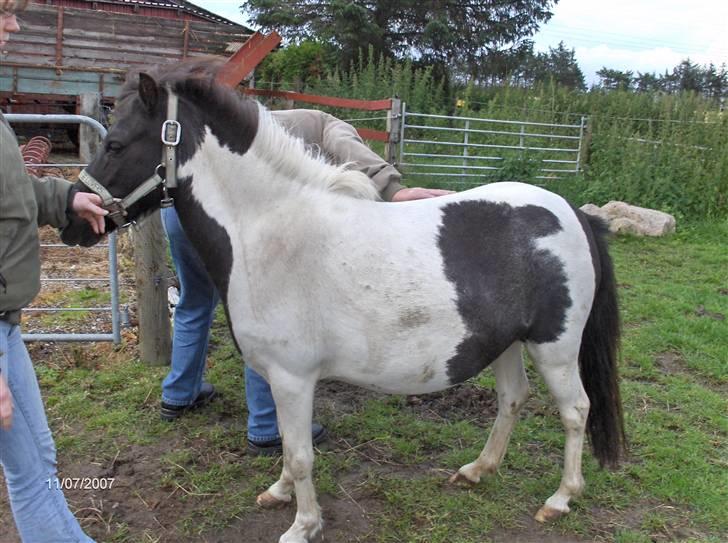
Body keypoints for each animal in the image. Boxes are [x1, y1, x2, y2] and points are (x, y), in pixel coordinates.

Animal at [59, 61, 624, 543]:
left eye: (116, 143)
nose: (73, 222)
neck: (267, 230)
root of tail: (572, 212)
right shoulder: (281, 379)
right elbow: (288, 447)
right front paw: (278, 493)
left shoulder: (292, 377)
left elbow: (302, 454)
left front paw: (302, 525)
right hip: (507, 343)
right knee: (512, 399)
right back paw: (477, 470)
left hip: (555, 348)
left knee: (575, 411)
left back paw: (560, 498)